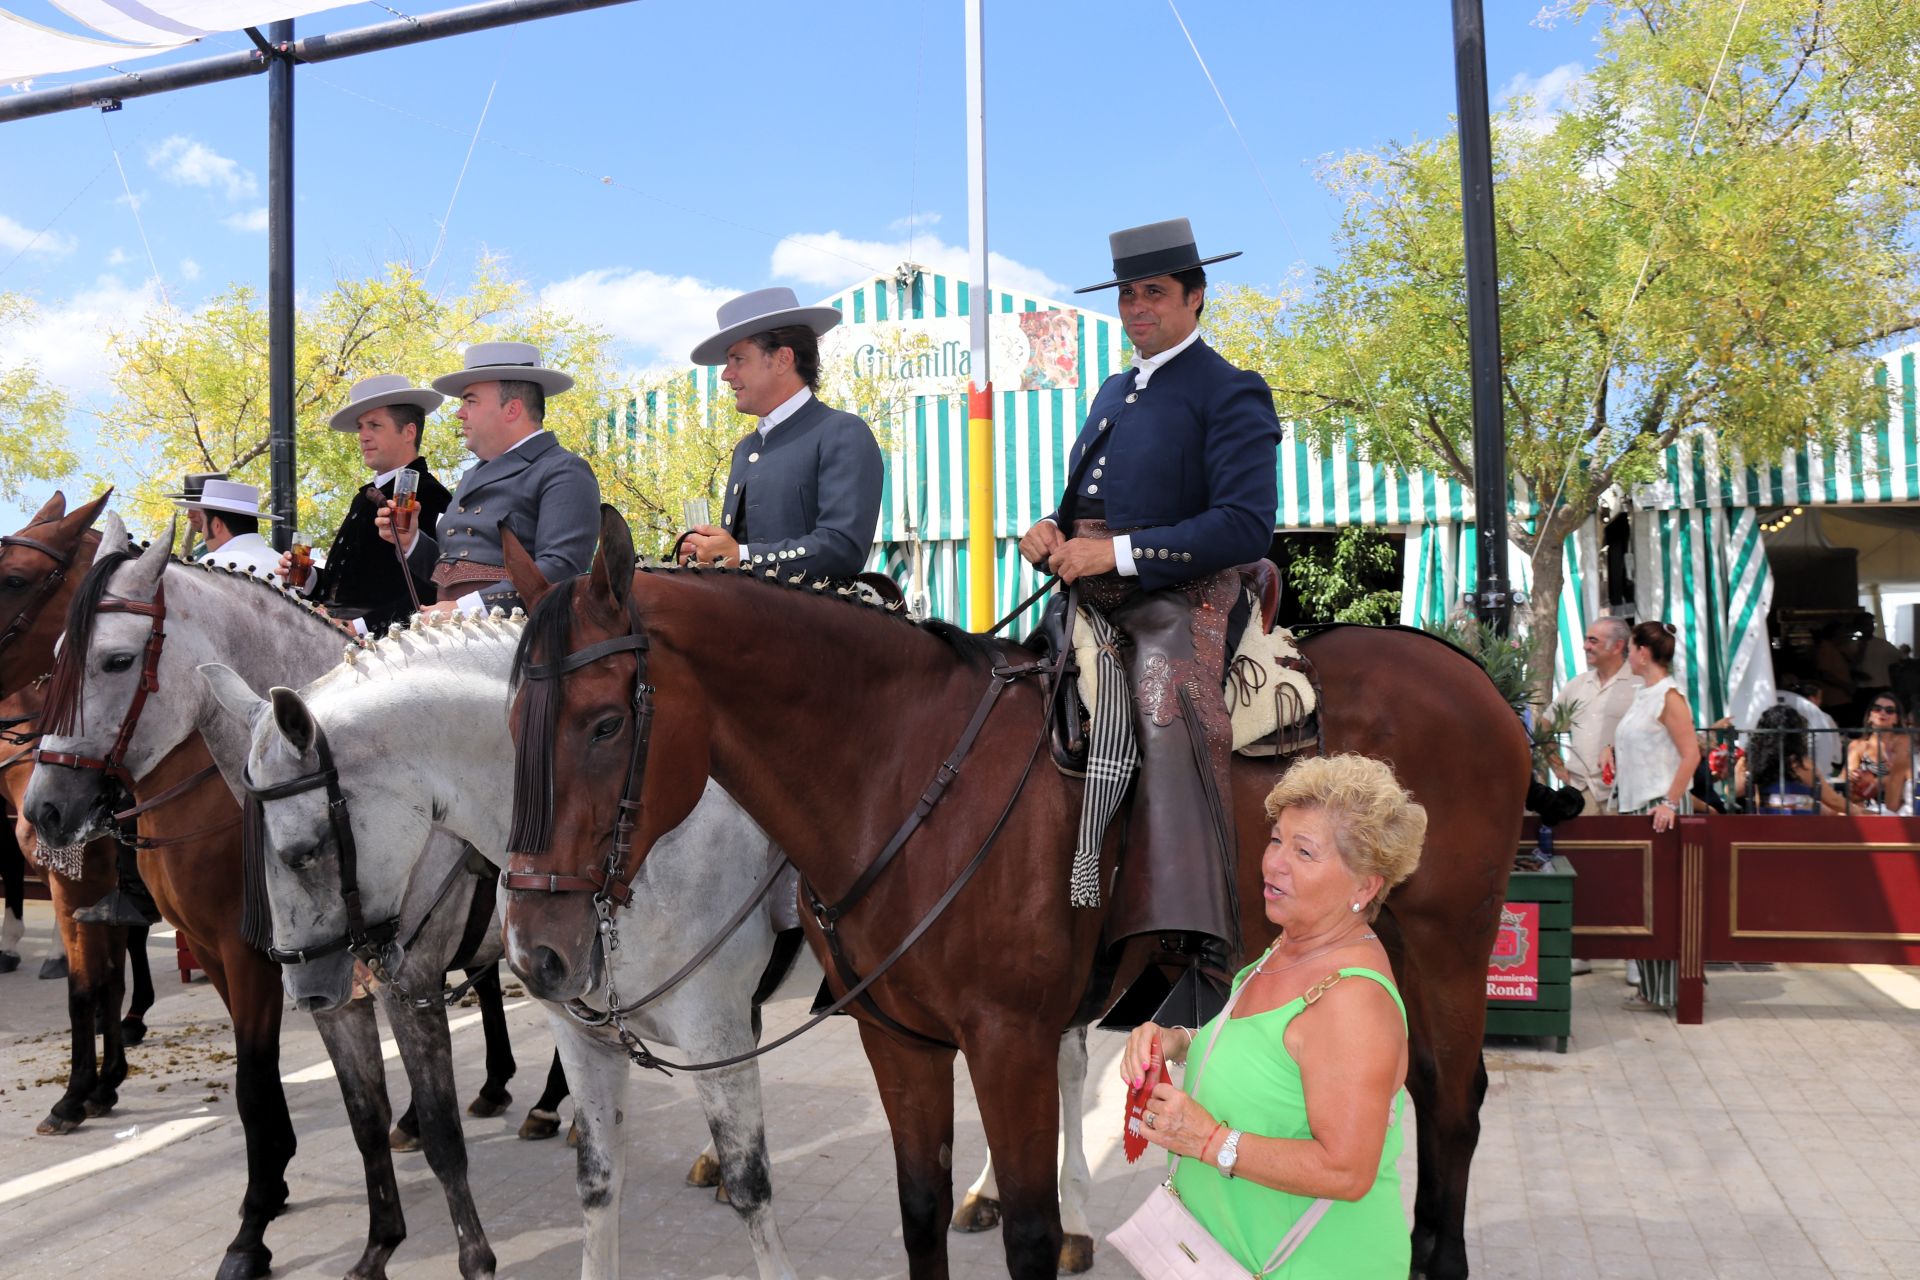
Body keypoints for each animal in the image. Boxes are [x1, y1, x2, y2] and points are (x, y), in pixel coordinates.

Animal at [200, 614, 810, 1280]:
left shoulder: (711, 1032)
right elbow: (596, 1182)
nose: (307, 992)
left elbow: (752, 1186)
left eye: (302, 853)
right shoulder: (585, 1037)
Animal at [495, 510, 1528, 1280]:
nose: (537, 951)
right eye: (510, 723)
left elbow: (1033, 1233)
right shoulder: (899, 1041)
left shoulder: (1010, 1043)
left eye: (601, 725)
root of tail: (1469, 672)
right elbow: (918, 1210)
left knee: (1453, 1101)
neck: (902, 775)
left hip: (1451, 942)